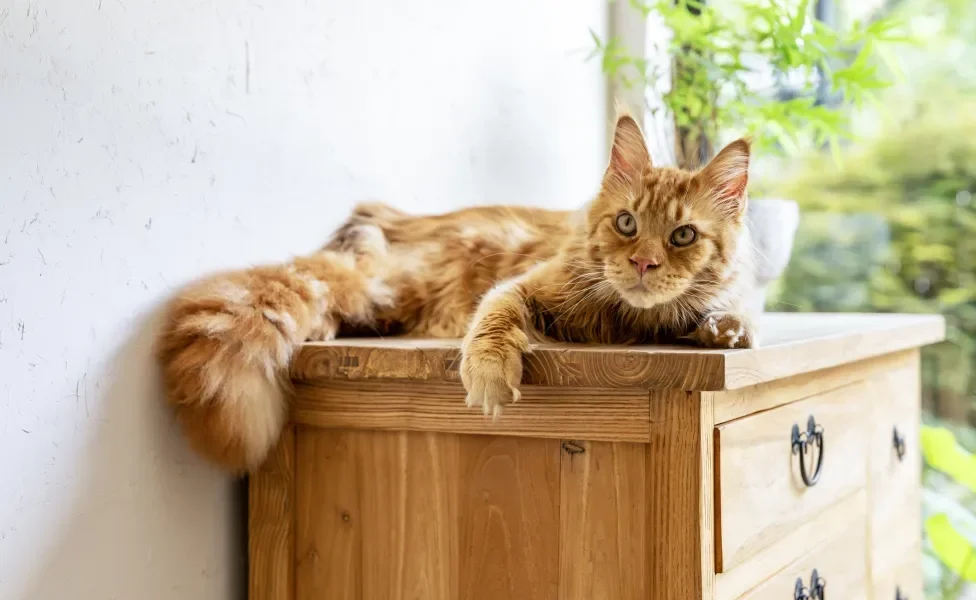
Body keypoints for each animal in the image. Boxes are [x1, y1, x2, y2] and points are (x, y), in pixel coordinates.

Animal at [156, 110, 760, 472]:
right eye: (627, 223)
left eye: (683, 236)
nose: (641, 262)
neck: (634, 321)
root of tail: (391, 218)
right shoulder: (523, 286)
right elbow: (493, 323)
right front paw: (490, 374)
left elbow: (731, 312)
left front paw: (726, 329)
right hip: (382, 288)